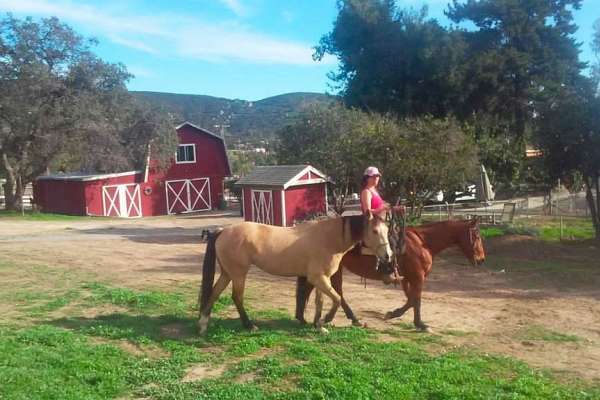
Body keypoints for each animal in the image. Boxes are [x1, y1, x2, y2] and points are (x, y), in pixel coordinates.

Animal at [198, 212, 394, 334]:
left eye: (387, 230)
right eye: (375, 231)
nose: (388, 255)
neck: (328, 238)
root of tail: (222, 231)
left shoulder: (320, 279)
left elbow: (320, 302)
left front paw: (318, 325)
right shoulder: (318, 278)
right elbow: (337, 299)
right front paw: (326, 320)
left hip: (227, 273)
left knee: (214, 293)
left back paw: (203, 325)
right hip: (238, 274)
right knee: (236, 297)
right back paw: (249, 325)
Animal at [296, 220, 488, 330]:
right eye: (477, 236)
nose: (482, 259)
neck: (422, 243)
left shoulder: (407, 278)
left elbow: (411, 299)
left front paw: (394, 314)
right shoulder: (418, 277)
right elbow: (416, 300)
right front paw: (420, 324)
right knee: (336, 293)